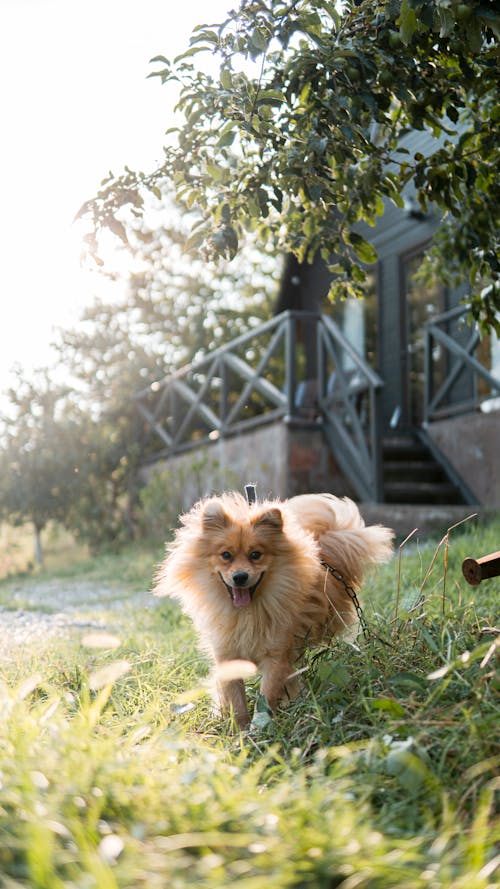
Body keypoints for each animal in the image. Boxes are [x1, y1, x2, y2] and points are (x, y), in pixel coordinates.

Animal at [154, 490, 392, 724]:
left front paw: (258, 727)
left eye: (255, 555)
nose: (240, 576)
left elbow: (266, 696)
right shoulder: (228, 656)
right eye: (226, 555)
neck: (247, 613)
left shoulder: (277, 655)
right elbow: (235, 699)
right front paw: (239, 729)